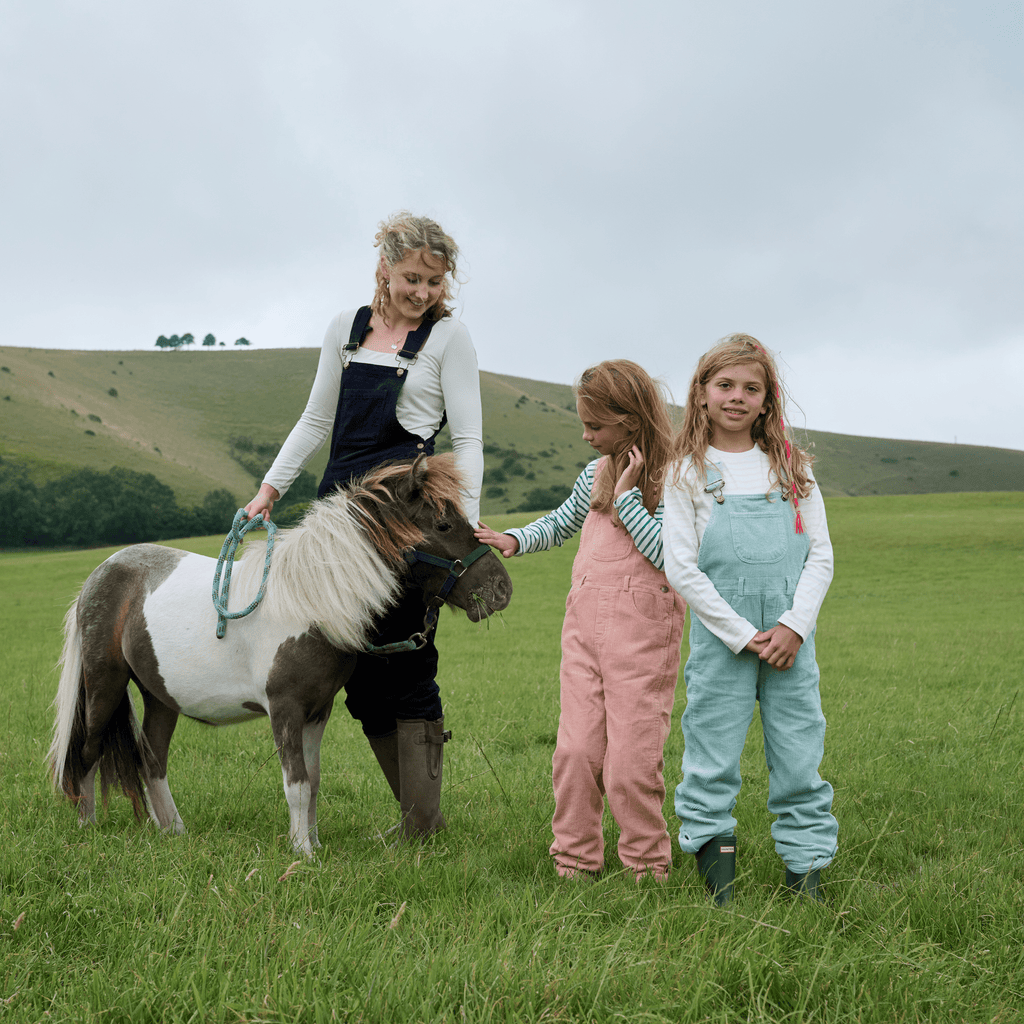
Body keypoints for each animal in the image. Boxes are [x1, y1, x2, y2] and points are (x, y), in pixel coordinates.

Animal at [48, 456, 512, 856]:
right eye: (444, 523)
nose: (500, 589)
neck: (310, 603)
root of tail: (100, 574)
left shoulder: (318, 710)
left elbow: (314, 780)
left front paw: (313, 844)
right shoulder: (284, 709)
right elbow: (297, 783)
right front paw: (303, 853)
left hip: (161, 696)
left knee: (152, 758)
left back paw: (173, 831)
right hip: (104, 684)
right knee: (86, 752)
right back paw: (87, 827)